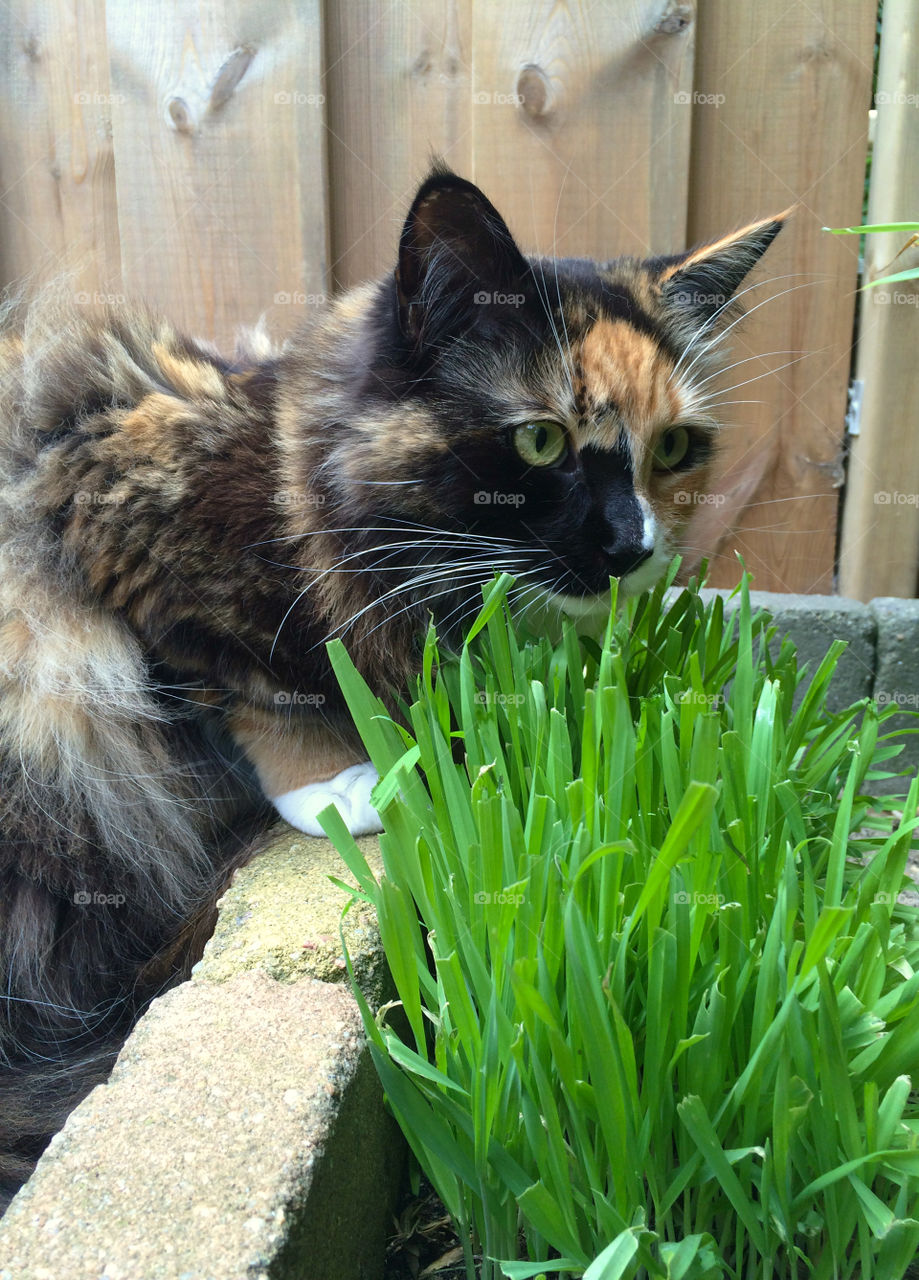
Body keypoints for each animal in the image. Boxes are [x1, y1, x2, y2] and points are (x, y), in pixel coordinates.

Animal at [0, 162, 788, 1208]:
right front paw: (339, 781)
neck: (293, 470)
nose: (634, 548)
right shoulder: (100, 480)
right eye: (540, 443)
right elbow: (242, 671)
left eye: (672, 450)